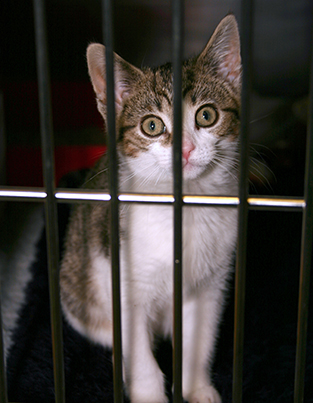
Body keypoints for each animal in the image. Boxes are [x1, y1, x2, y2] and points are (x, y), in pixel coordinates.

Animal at [59, 14, 240, 403]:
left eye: (206, 115)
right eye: (152, 125)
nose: (185, 149)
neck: (185, 210)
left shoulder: (213, 282)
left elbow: (200, 336)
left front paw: (196, 387)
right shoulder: (120, 275)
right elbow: (137, 347)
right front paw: (147, 391)